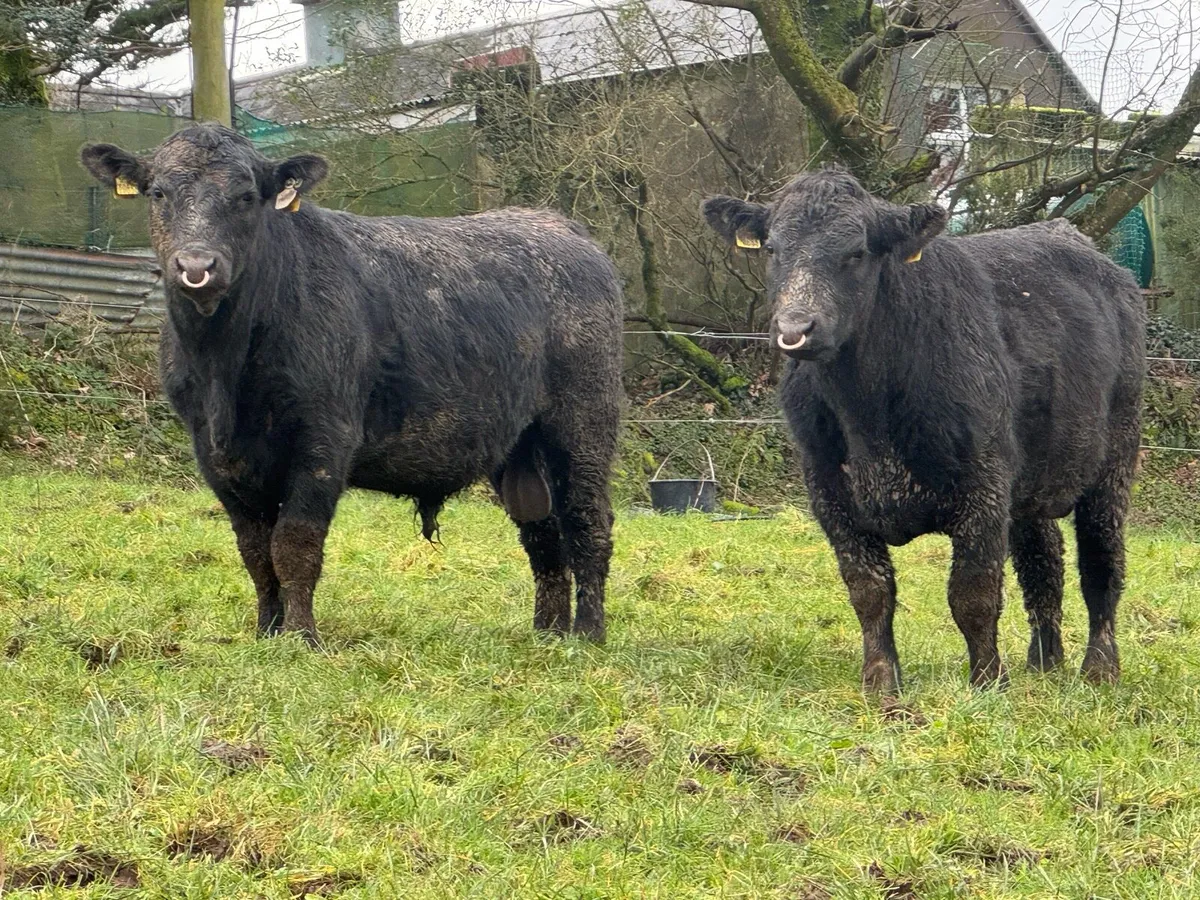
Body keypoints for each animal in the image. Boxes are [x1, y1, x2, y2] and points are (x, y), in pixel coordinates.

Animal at [80, 124, 623, 646]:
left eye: (247, 196)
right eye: (159, 193)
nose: (197, 266)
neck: (226, 375)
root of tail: (559, 226)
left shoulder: (325, 438)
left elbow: (294, 544)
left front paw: (301, 638)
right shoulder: (214, 452)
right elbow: (255, 551)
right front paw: (265, 631)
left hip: (583, 419)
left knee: (586, 520)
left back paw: (587, 634)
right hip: (517, 443)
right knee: (542, 533)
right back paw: (547, 633)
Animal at [703, 167, 1144, 691]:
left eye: (857, 252)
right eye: (772, 249)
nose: (795, 329)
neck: (871, 420)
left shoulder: (983, 485)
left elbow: (972, 594)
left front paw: (988, 681)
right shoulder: (828, 488)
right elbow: (869, 590)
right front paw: (880, 684)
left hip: (1116, 453)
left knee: (1101, 562)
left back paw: (1100, 668)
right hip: (1032, 478)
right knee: (1043, 560)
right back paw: (1044, 661)